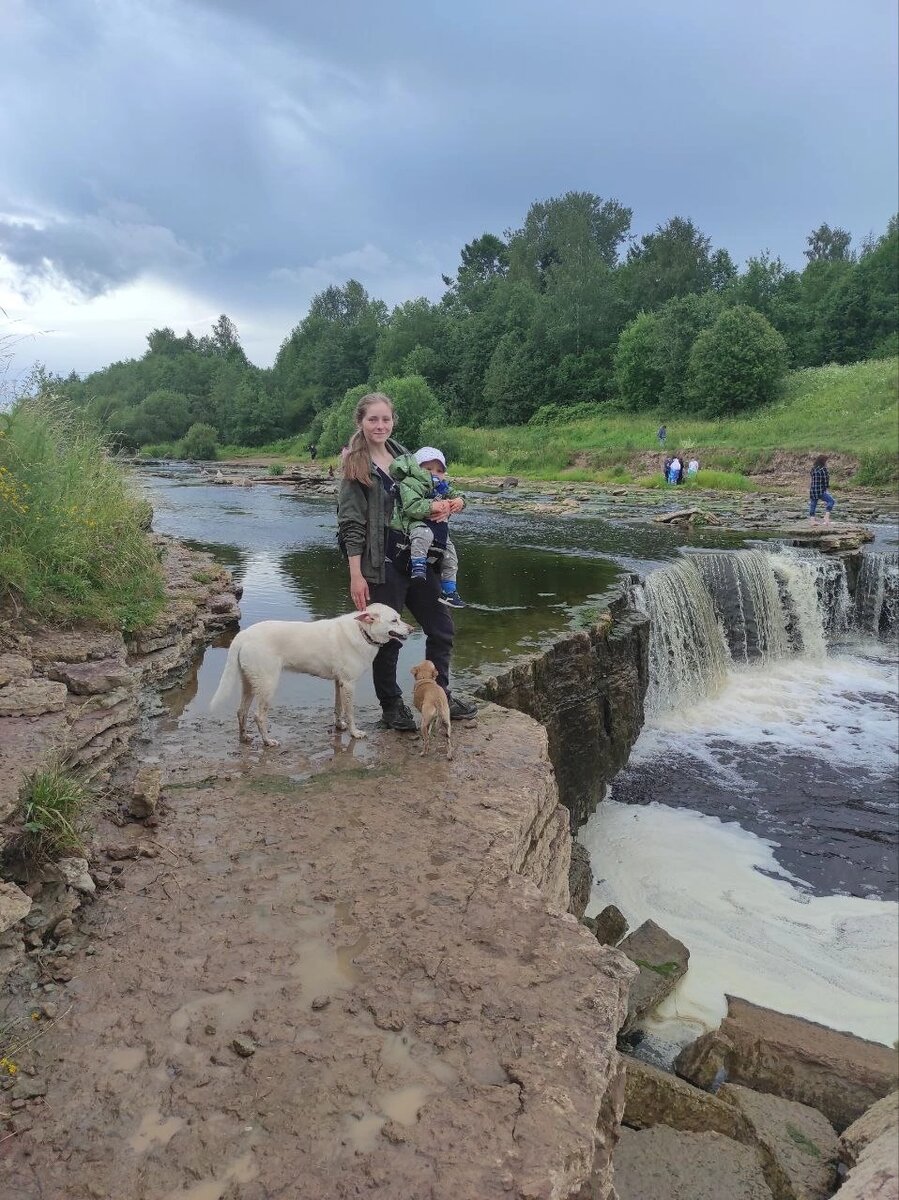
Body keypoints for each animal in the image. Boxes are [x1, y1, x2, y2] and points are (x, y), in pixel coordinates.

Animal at [210, 604, 410, 744]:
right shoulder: (349, 683)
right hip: (267, 685)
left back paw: (244, 738)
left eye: (400, 618)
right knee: (258, 716)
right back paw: (267, 741)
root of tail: (243, 635)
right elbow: (350, 712)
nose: (411, 629)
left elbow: (338, 708)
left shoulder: (339, 682)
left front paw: (339, 726)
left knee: (241, 712)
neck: (362, 632)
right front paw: (354, 733)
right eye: (394, 620)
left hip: (250, 684)